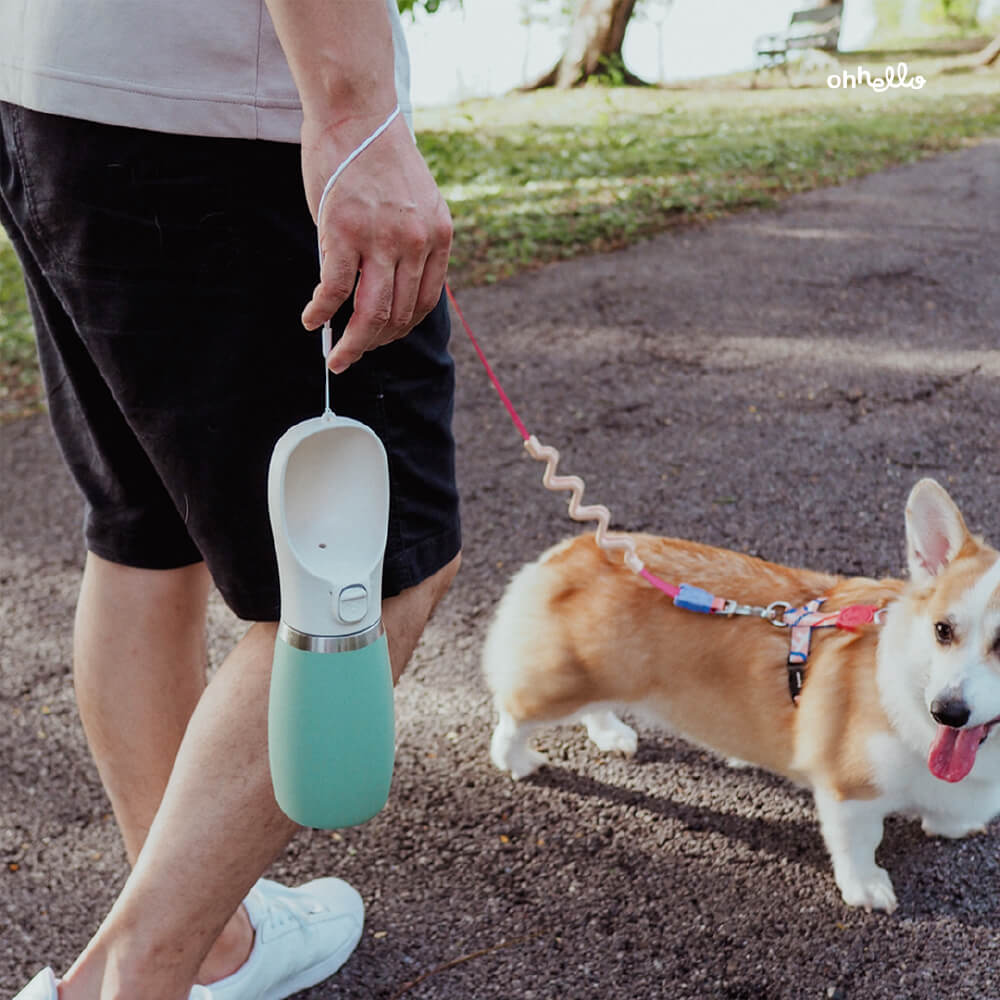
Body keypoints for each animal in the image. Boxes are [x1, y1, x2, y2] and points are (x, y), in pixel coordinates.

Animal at [484, 480, 1000, 912]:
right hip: (563, 684)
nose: (946, 713)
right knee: (515, 716)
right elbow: (859, 844)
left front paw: (954, 825)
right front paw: (867, 889)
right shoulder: (849, 790)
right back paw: (516, 760)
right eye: (943, 630)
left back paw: (611, 733)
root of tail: (572, 549)